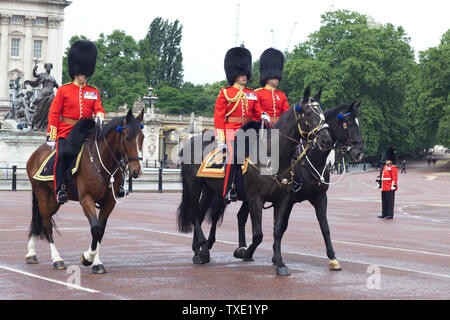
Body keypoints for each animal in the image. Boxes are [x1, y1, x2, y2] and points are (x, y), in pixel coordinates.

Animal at [24, 109, 144, 274]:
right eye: (127, 138)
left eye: (142, 138)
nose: (136, 171)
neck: (102, 161)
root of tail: (37, 152)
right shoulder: (86, 199)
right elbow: (95, 228)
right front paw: (87, 258)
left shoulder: (109, 202)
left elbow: (100, 230)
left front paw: (96, 262)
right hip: (41, 192)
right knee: (47, 224)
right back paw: (56, 259)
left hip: (54, 200)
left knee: (42, 219)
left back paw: (31, 253)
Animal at [178, 85, 332, 272]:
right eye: (308, 113)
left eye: (322, 113)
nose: (326, 140)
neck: (274, 157)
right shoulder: (255, 199)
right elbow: (258, 235)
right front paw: (245, 252)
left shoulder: (283, 199)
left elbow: (278, 230)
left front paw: (280, 263)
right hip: (194, 185)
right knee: (194, 213)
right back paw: (204, 250)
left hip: (209, 189)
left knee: (200, 214)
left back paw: (197, 250)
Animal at [207, 100, 366, 276]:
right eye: (349, 123)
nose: (360, 153)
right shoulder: (288, 199)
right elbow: (281, 226)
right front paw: (276, 257)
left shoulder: (319, 198)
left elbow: (324, 227)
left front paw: (333, 258)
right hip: (222, 193)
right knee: (216, 214)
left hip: (248, 197)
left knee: (241, 217)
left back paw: (242, 249)